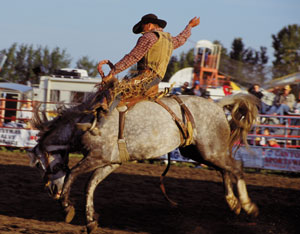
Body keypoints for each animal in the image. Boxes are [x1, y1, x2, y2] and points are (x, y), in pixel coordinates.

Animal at [27, 87, 258, 232]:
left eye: (38, 164)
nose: (51, 190)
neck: (86, 122)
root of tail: (218, 104)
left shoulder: (98, 157)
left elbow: (73, 175)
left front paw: (67, 208)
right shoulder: (111, 163)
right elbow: (90, 185)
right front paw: (91, 220)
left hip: (210, 151)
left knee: (236, 167)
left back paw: (248, 206)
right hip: (199, 152)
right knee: (225, 169)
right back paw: (233, 203)